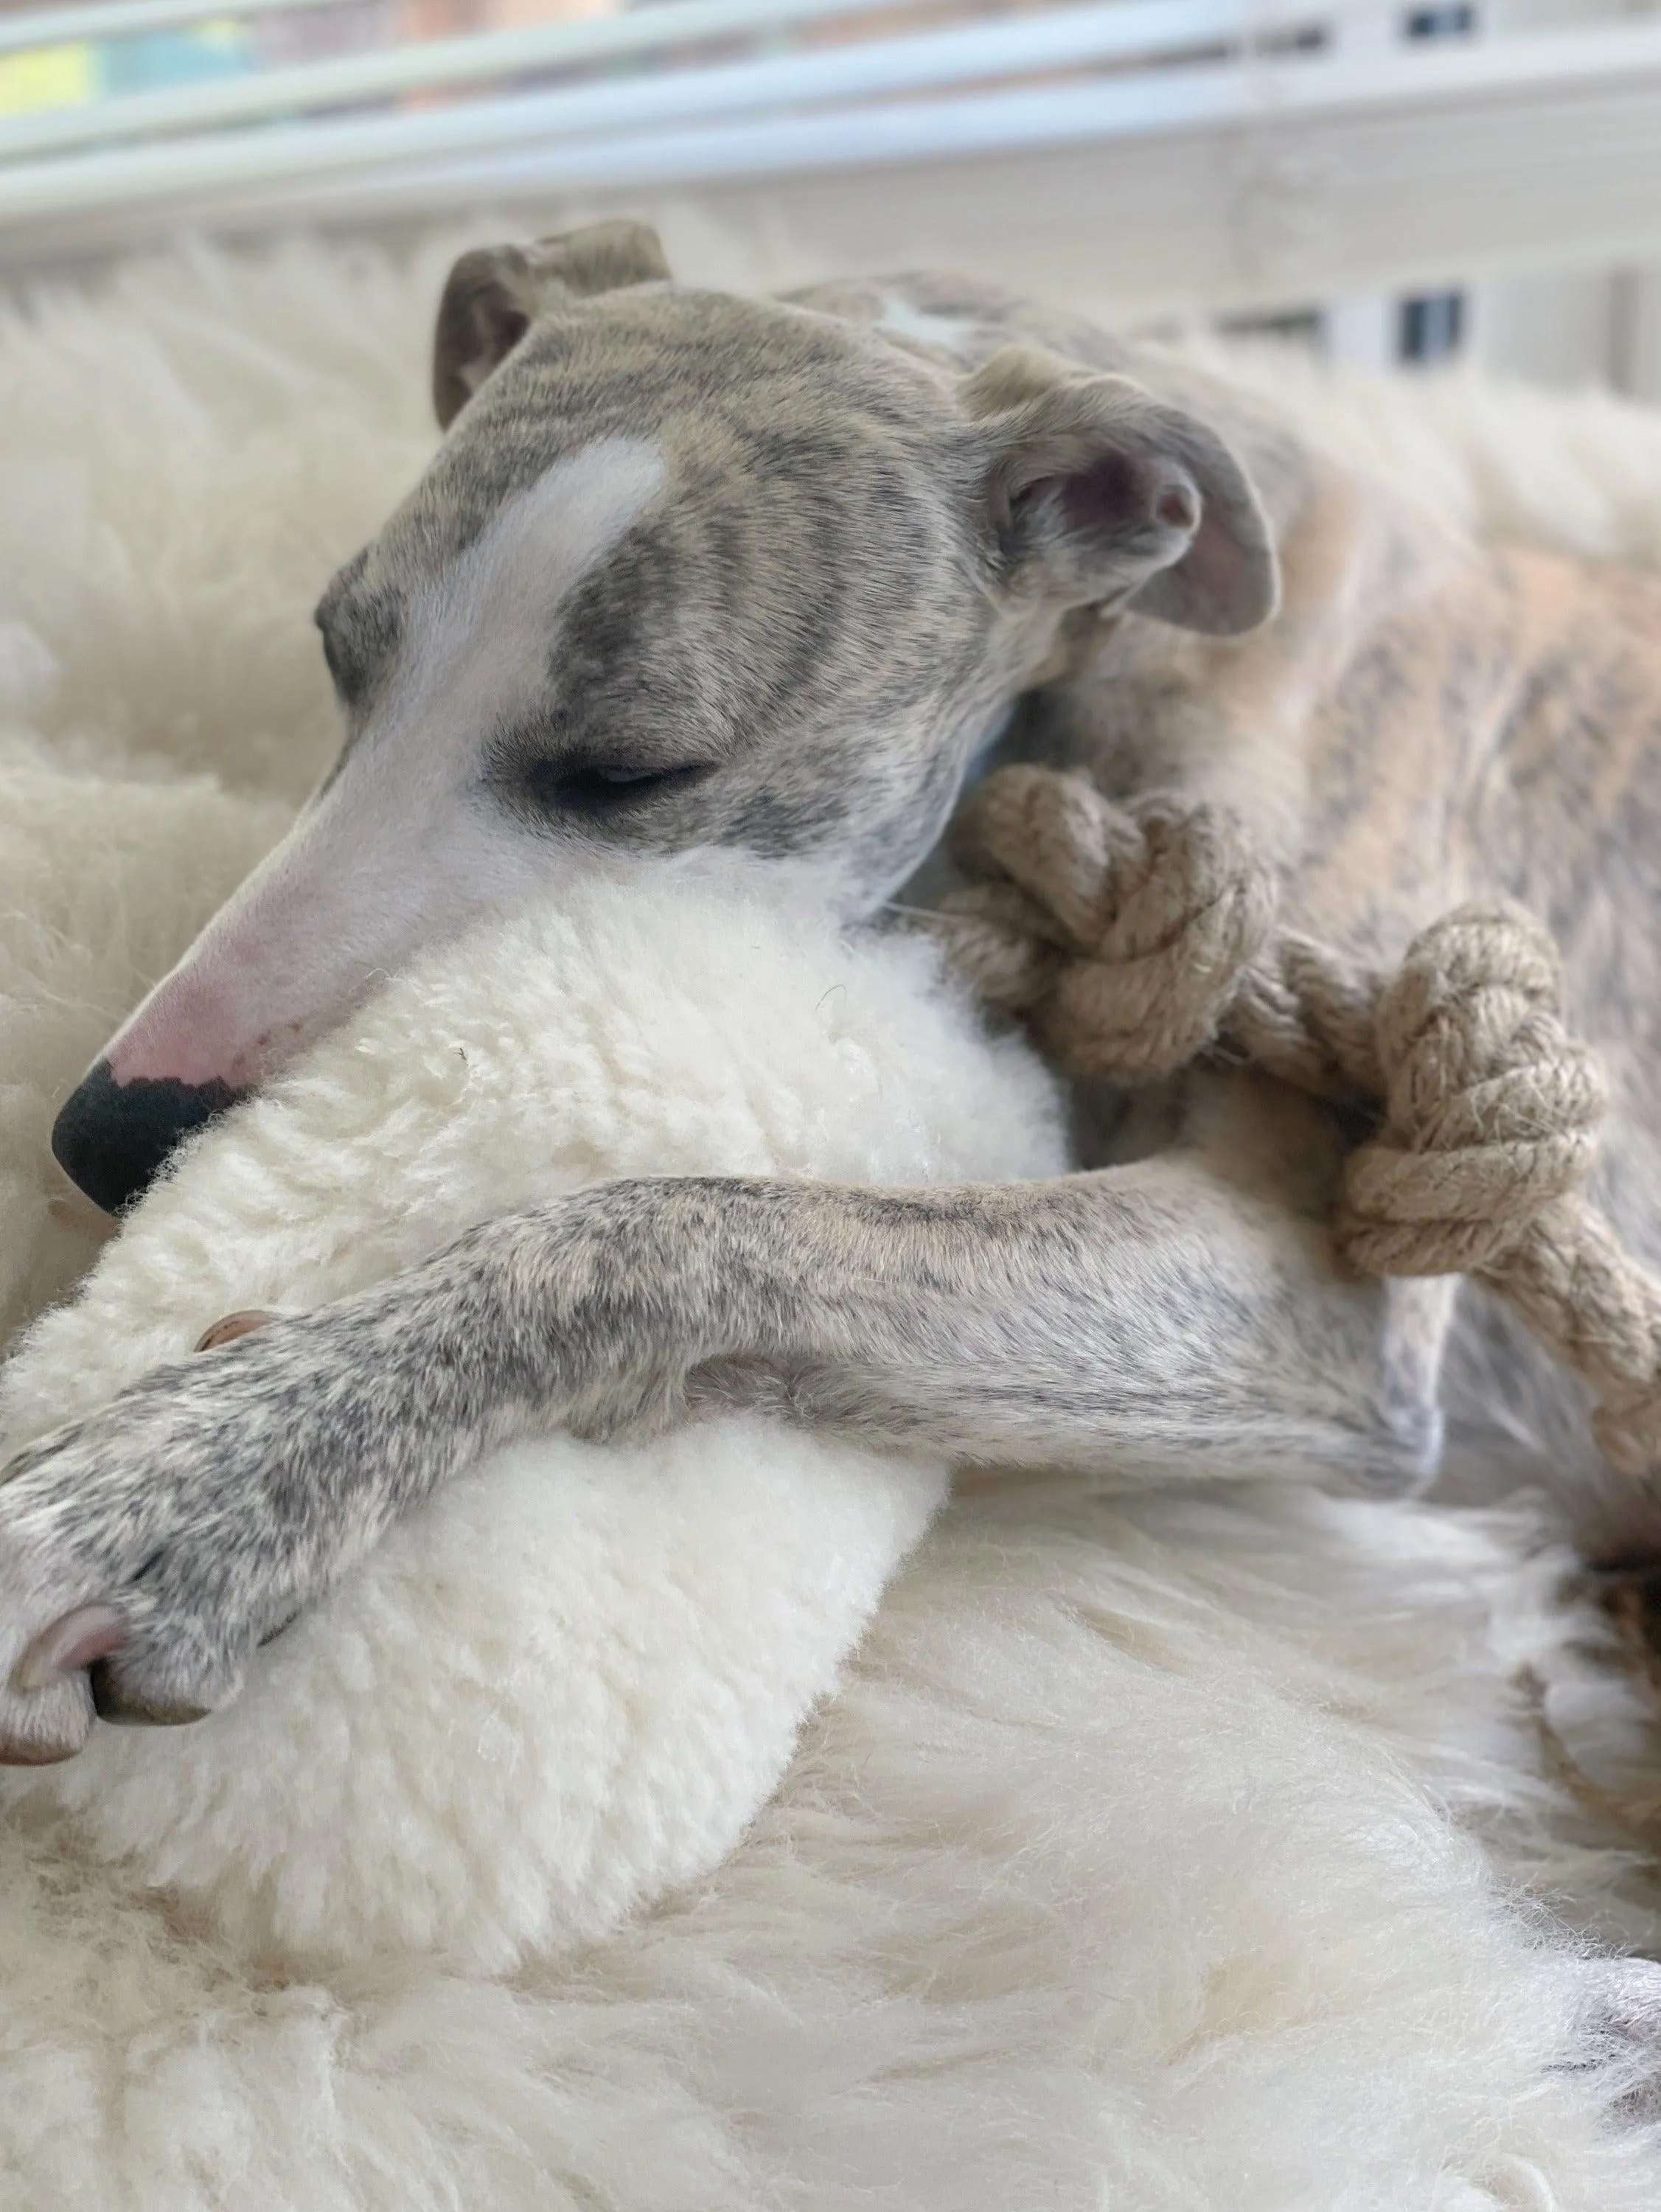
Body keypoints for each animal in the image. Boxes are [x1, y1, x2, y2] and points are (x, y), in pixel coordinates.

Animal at [3, 224, 1661, 1770]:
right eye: (339, 652)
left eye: (632, 772)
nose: (102, 1140)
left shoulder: (1314, 1275)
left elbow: (668, 1224)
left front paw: (184, 1486)